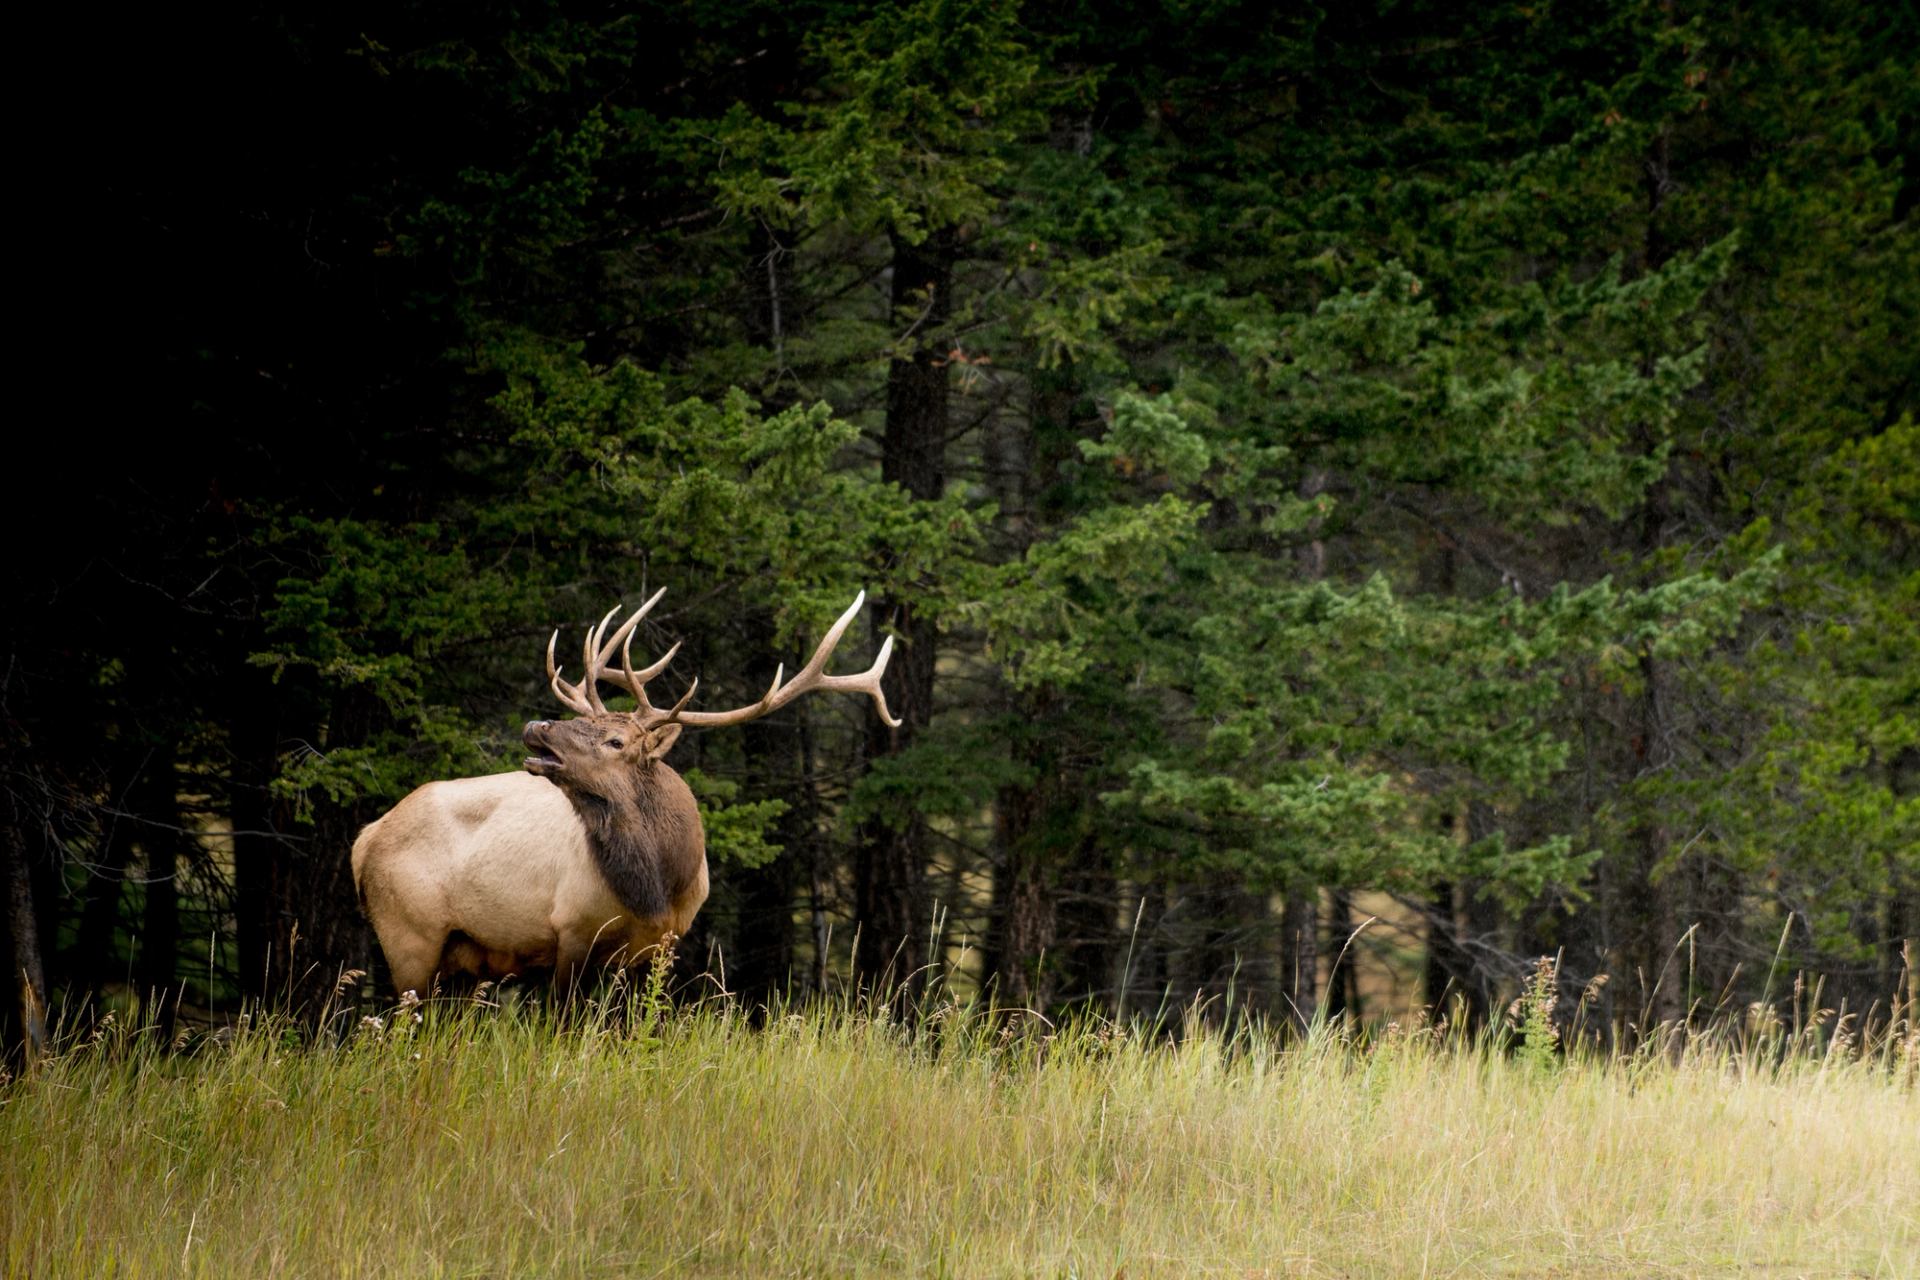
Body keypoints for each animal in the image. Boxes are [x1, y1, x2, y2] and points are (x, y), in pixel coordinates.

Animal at [349, 591, 894, 997]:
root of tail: (364, 839)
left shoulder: (657, 949)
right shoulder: (569, 930)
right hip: (408, 935)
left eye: (614, 740)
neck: (657, 887)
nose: (536, 726)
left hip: (456, 958)